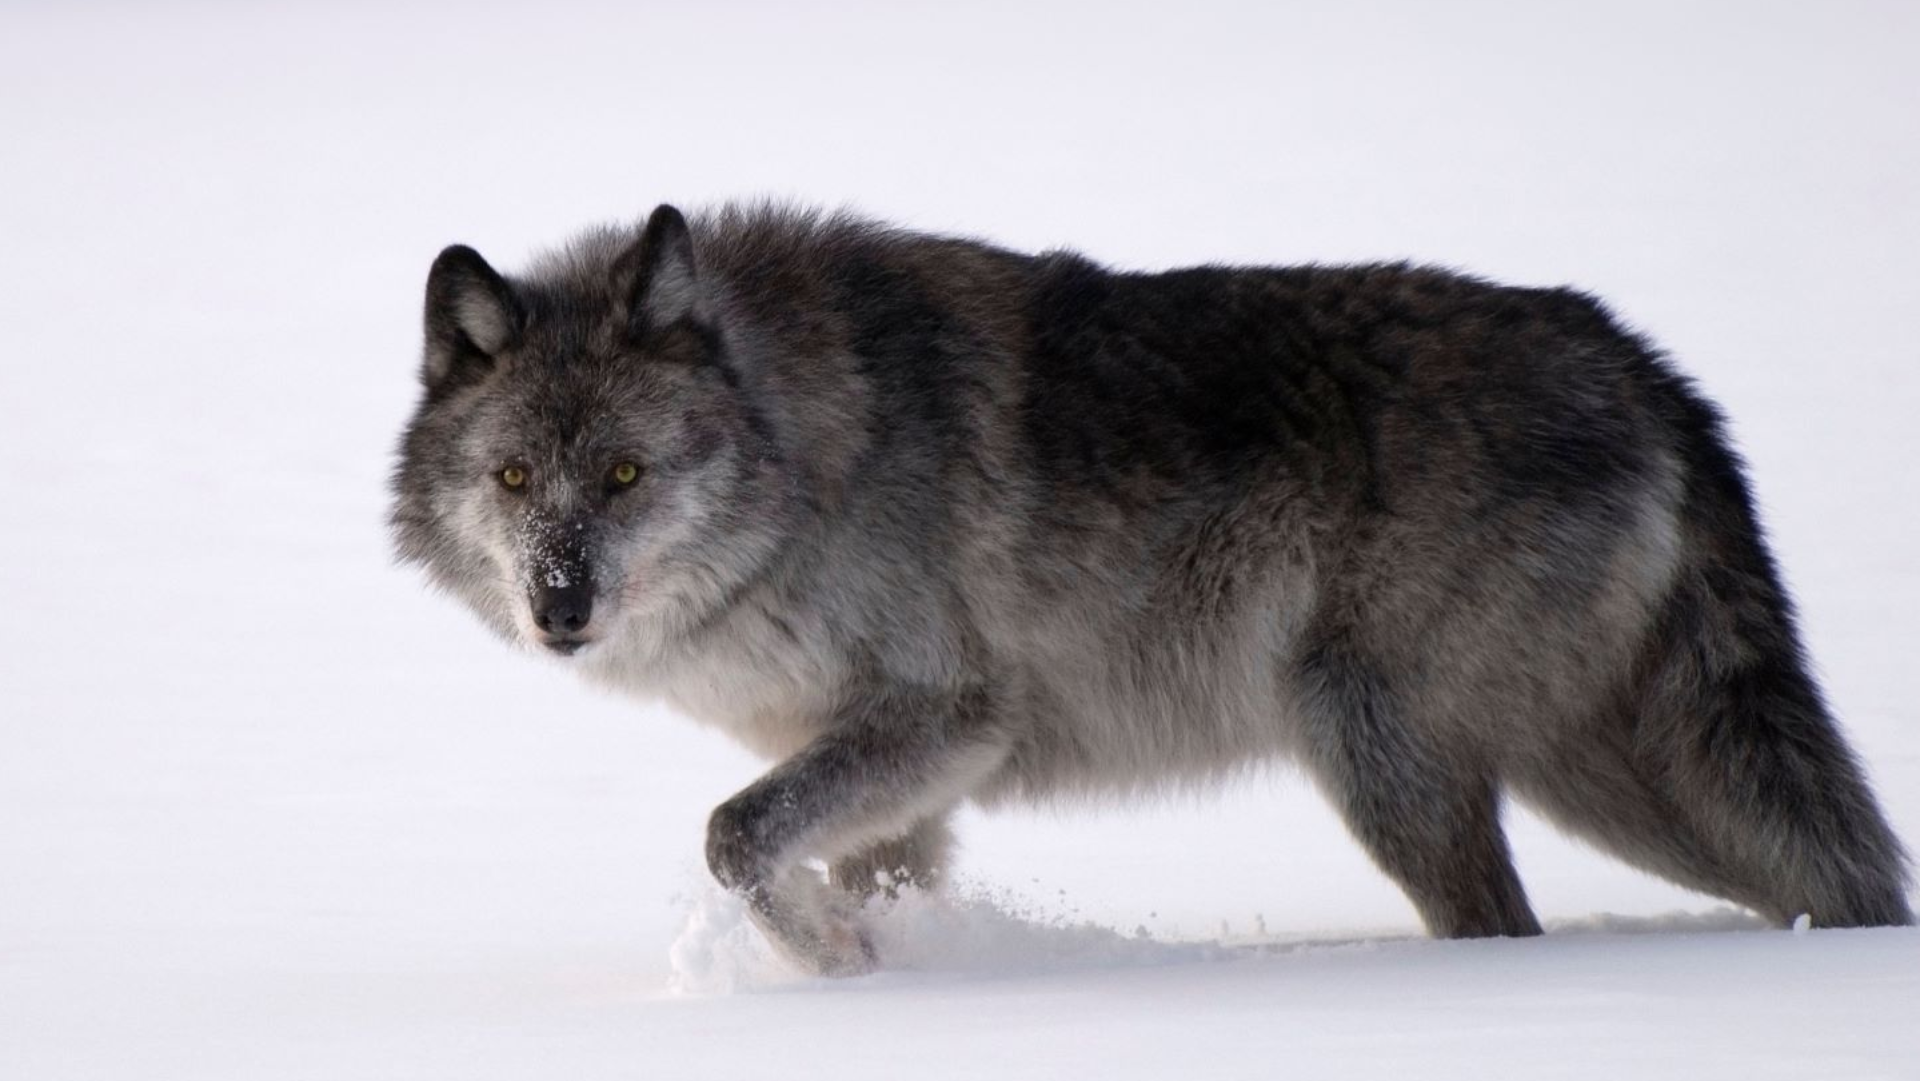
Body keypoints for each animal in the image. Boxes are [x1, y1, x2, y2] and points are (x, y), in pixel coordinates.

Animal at [390, 202, 1912, 975]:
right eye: (516, 479)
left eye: (626, 474)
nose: (561, 606)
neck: (806, 443)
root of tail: (1647, 367)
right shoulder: (895, 773)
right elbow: (814, 853)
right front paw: (870, 972)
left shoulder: (948, 715)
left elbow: (732, 834)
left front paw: (827, 960)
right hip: (1610, 773)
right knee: (1833, 878)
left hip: (1395, 758)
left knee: (1511, 930)